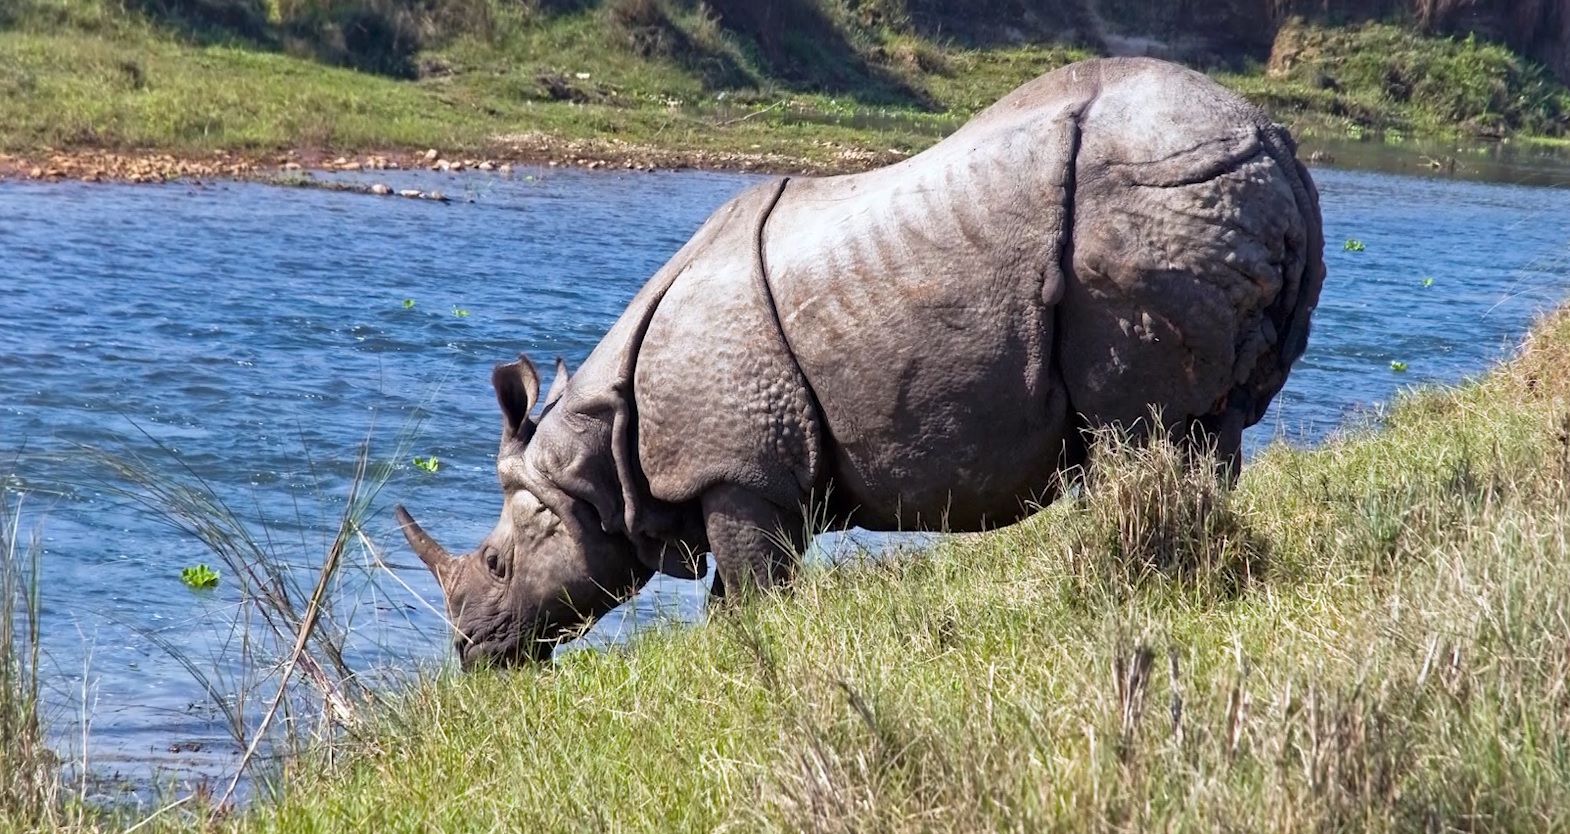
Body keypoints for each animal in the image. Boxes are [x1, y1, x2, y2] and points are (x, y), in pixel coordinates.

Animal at [395, 56, 1325, 672]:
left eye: (499, 564)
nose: (472, 652)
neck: (598, 449)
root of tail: (1278, 144)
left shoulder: (737, 470)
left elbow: (753, 591)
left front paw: (745, 659)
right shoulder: (769, 477)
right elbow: (741, 589)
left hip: (1151, 200)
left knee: (1139, 426)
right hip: (1199, 195)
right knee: (1208, 427)